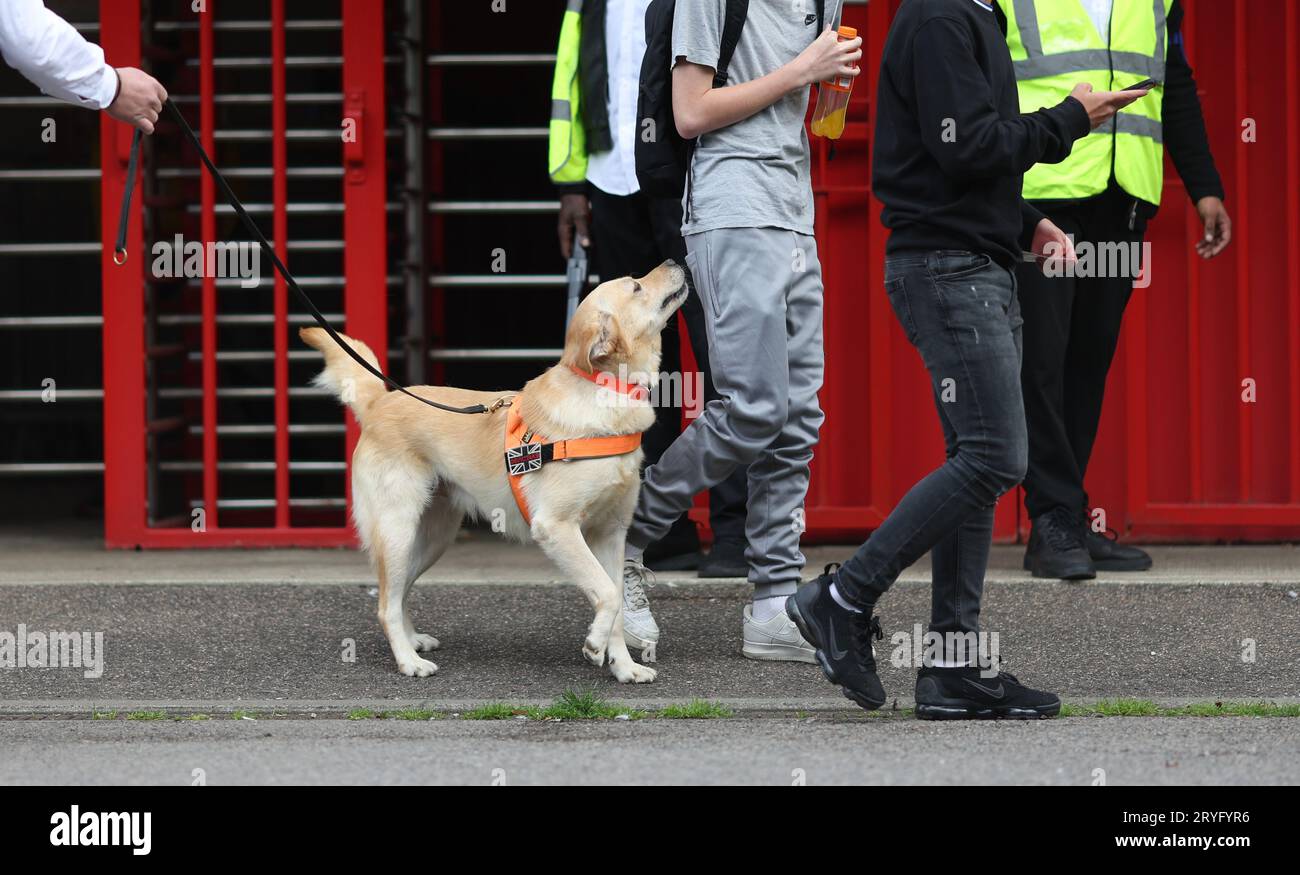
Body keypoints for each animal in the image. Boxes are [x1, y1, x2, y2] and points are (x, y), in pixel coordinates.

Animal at [302, 260, 691, 681]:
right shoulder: (556, 527)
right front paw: (594, 644)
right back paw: (409, 661)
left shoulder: (611, 533)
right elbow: (606, 592)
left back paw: (413, 639)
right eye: (635, 287)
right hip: (397, 530)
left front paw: (623, 667)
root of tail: (381, 402)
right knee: (384, 604)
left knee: (397, 592)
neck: (604, 392)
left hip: (432, 538)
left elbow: (617, 600)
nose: (673, 261)